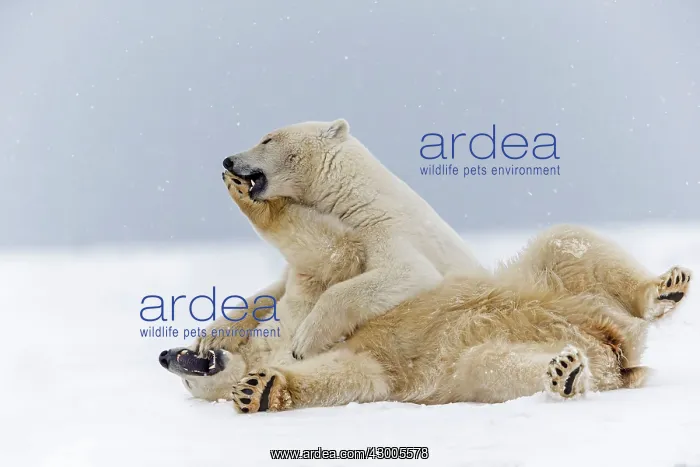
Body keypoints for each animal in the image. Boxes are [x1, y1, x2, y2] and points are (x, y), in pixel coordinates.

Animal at [194, 118, 488, 360]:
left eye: (268, 139)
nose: (228, 160)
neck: (351, 196)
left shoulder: (384, 228)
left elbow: (408, 272)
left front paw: (304, 341)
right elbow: (273, 289)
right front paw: (211, 336)